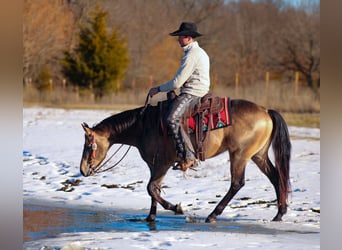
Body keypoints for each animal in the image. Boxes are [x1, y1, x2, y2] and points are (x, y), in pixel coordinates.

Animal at [79, 94, 292, 223]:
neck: (143, 126)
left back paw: (213, 215)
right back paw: (279, 214)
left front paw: (176, 208)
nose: (83, 170)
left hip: (239, 155)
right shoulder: (155, 165)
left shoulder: (162, 164)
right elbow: (154, 189)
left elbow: (151, 188)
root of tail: (266, 112)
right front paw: (150, 217)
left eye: (89, 146)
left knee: (237, 183)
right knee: (276, 177)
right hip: (258, 155)